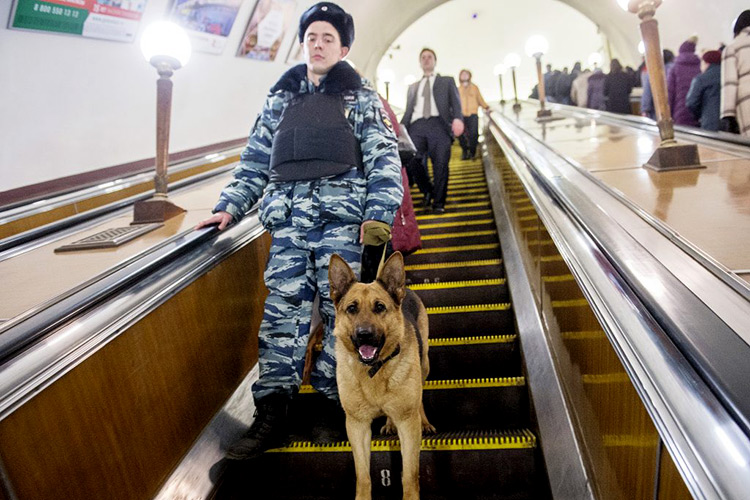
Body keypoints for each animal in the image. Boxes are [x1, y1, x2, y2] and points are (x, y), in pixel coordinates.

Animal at [328, 254, 434, 500]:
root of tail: (406, 289)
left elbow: (410, 475)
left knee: (420, 399)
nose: (364, 335)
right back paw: (388, 423)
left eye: (379, 307)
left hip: (424, 364)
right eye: (352, 308)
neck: (374, 370)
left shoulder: (407, 424)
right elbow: (363, 476)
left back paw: (424, 421)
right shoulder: (357, 426)